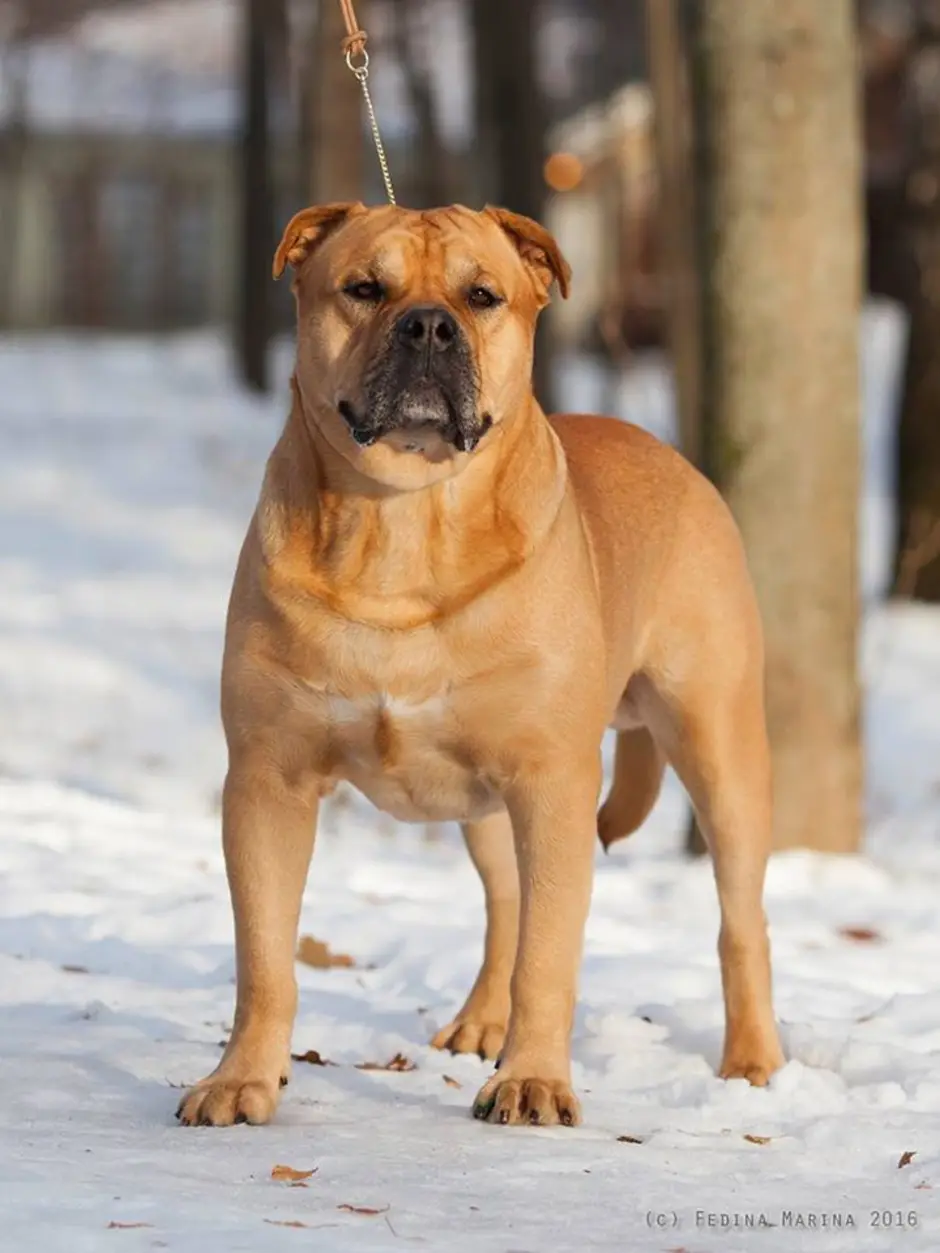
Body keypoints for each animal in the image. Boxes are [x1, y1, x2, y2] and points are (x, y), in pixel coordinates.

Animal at [176, 202, 787, 1127]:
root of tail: (674, 456)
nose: (429, 325)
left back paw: (752, 1061)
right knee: (507, 901)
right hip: (488, 802)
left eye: (482, 295)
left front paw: (533, 1080)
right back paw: (480, 1021)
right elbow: (266, 956)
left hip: (717, 740)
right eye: (365, 288)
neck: (401, 519)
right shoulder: (266, 778)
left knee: (737, 914)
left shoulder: (554, 780)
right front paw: (240, 1078)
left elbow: (551, 952)